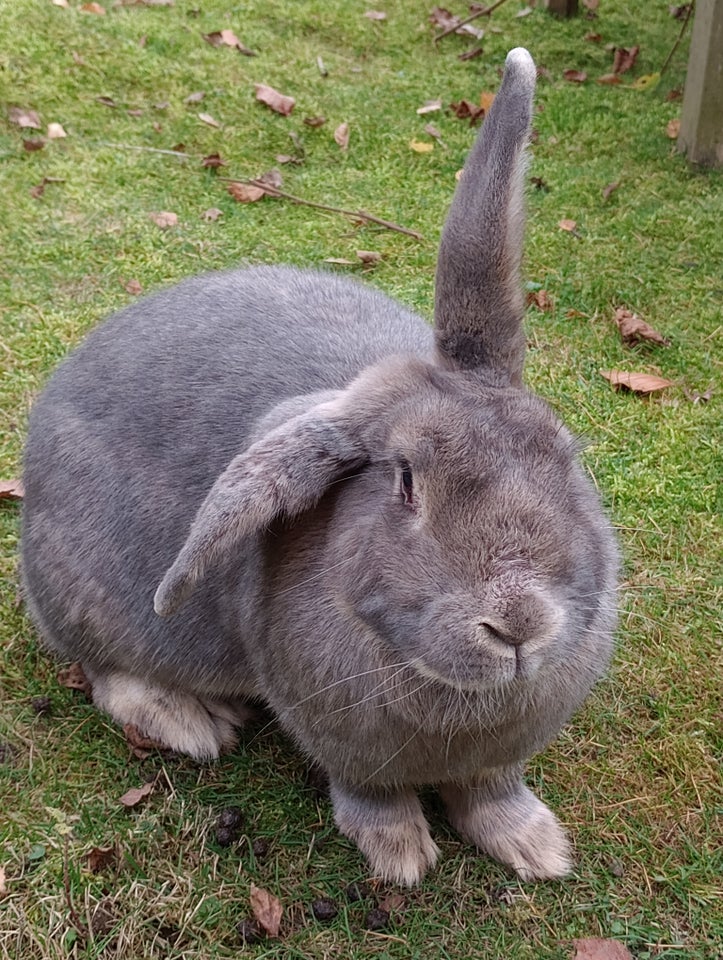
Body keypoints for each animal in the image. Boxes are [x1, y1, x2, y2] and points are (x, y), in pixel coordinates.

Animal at [19, 45, 620, 884]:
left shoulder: (497, 759)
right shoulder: (343, 745)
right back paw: (191, 722)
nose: (518, 626)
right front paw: (399, 856)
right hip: (92, 604)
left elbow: (492, 789)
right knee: (104, 671)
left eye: (563, 454)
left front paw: (535, 847)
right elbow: (369, 795)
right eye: (405, 481)